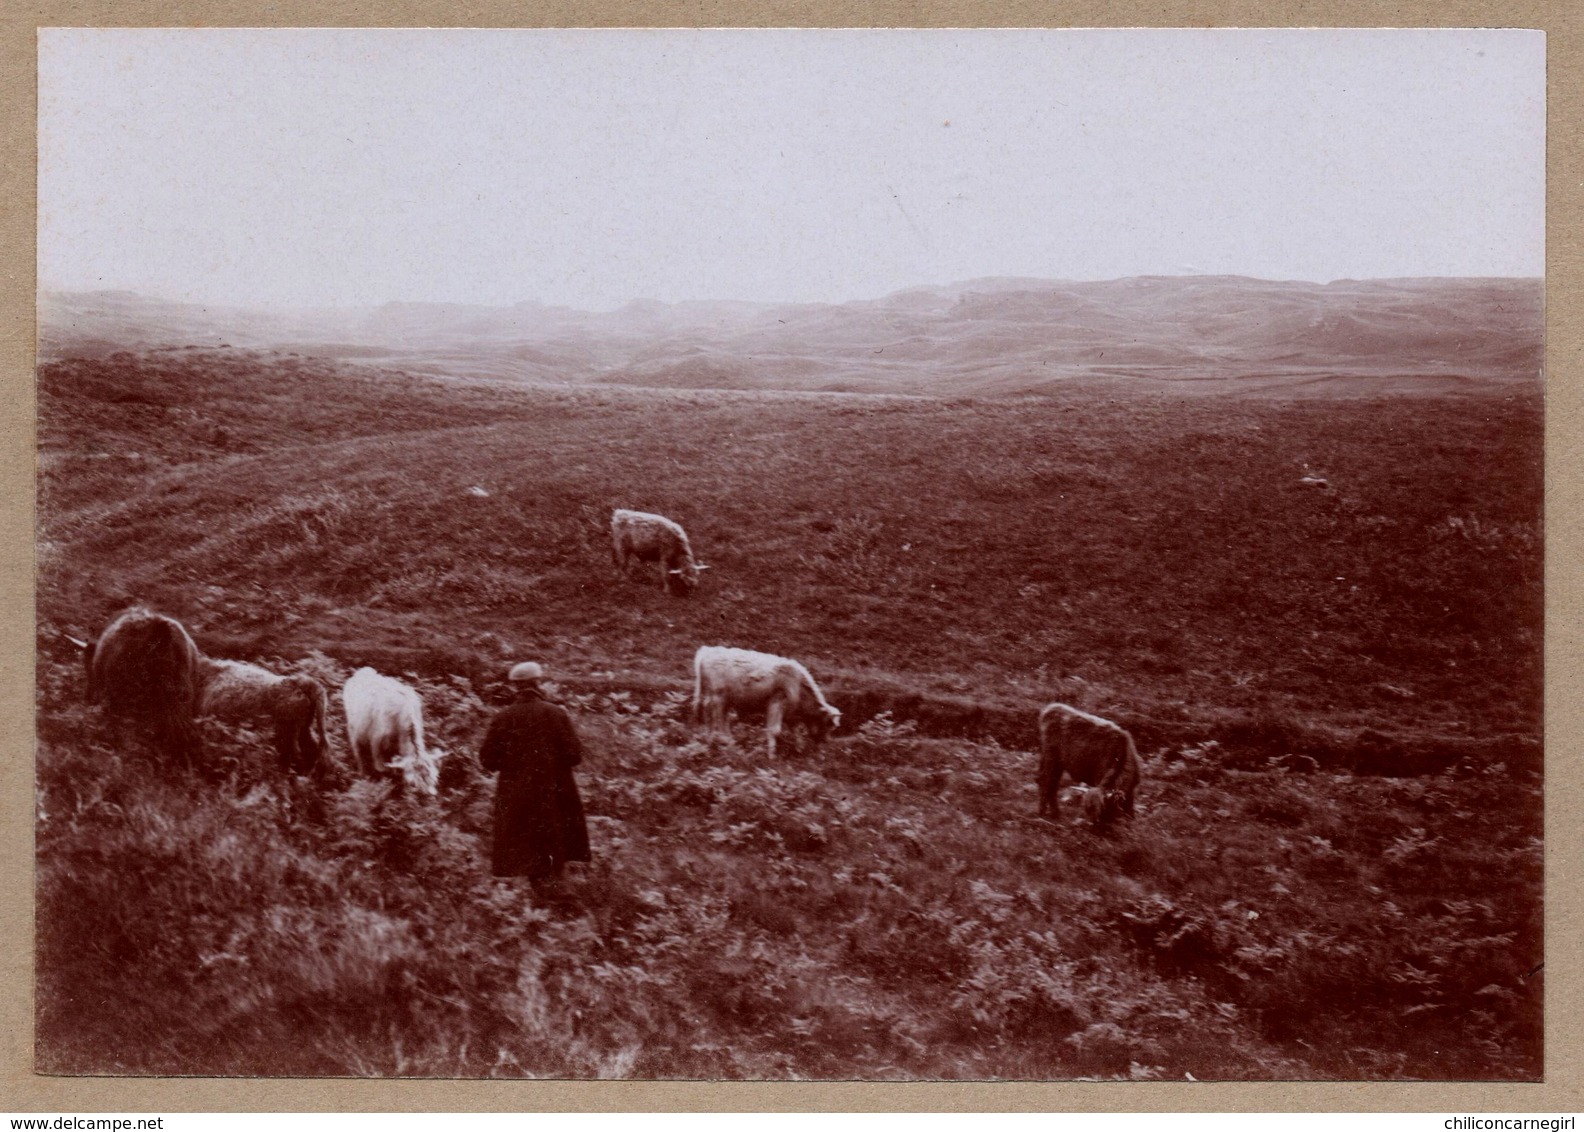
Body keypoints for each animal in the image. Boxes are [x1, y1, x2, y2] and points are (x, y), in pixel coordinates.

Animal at [342, 664, 446, 797]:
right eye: (413, 784)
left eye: (434, 779)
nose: (428, 797)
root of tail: (364, 671)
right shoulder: (377, 748)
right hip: (353, 729)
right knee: (359, 754)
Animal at [693, 645, 842, 763]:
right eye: (828, 724)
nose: (826, 743)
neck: (798, 685)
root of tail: (708, 651)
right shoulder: (776, 703)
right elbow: (774, 730)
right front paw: (771, 756)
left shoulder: (790, 713)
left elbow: (795, 731)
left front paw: (798, 750)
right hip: (718, 697)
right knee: (717, 719)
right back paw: (721, 741)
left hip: (722, 699)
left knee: (714, 716)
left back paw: (717, 740)